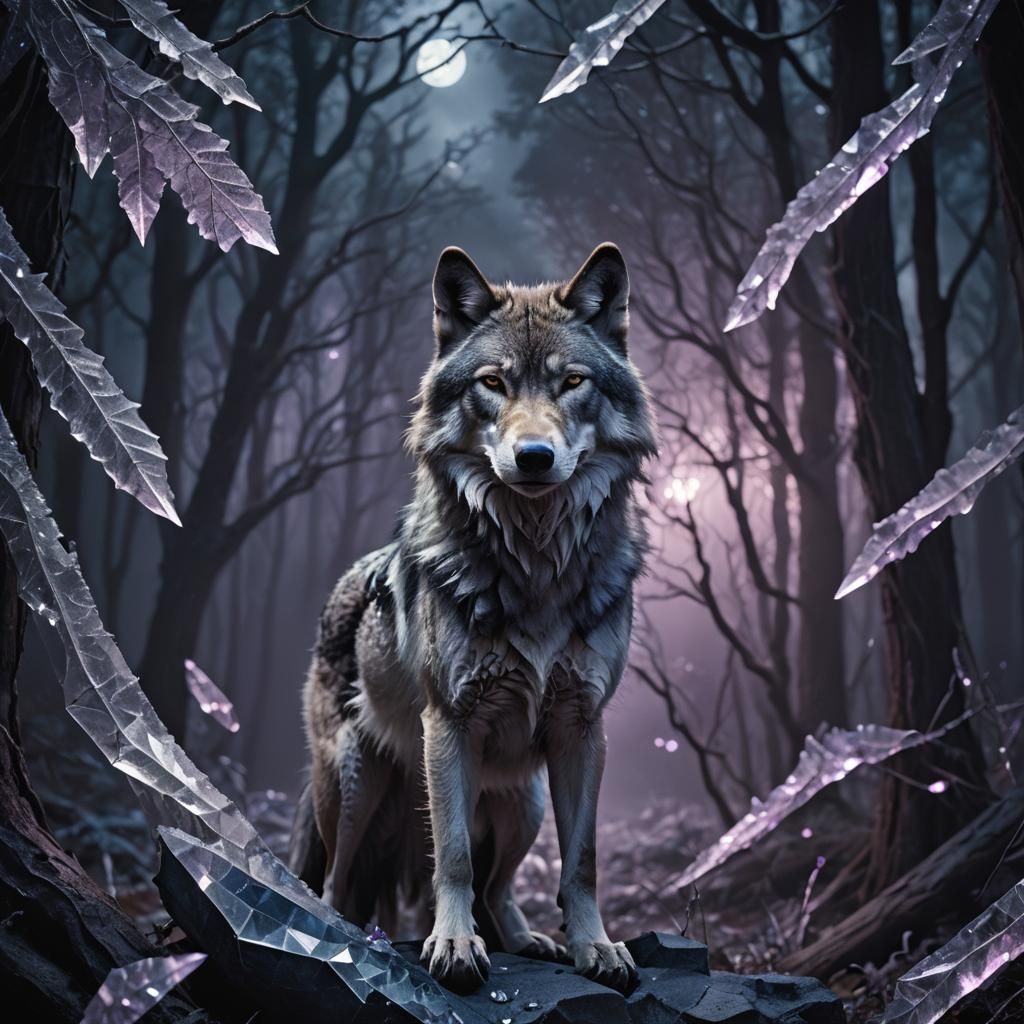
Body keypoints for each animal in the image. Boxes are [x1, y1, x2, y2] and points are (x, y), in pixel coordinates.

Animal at [290, 242, 657, 994]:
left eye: (571, 382)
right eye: (493, 383)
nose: (534, 457)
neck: (537, 564)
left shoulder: (583, 728)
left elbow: (582, 862)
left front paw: (596, 947)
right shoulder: (449, 724)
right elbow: (453, 856)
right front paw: (453, 947)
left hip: (524, 801)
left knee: (500, 889)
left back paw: (529, 940)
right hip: (354, 787)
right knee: (339, 883)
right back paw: (349, 940)